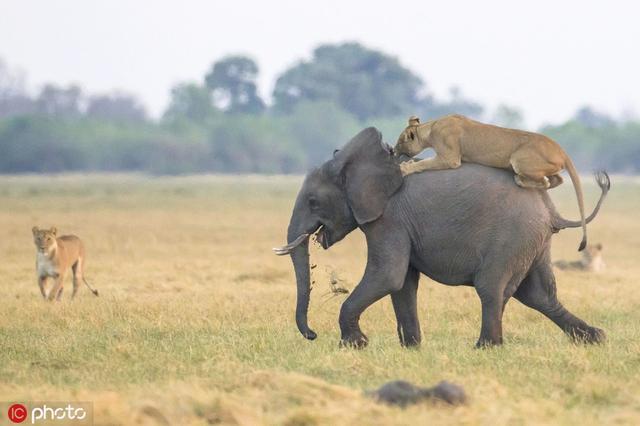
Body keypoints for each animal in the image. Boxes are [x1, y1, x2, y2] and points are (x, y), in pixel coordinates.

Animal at [274, 127, 610, 348]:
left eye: (313, 202)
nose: (312, 335)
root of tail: (551, 211)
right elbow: (403, 283)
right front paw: (411, 348)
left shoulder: (389, 219)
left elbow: (388, 275)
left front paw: (354, 345)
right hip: (533, 241)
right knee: (537, 294)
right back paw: (595, 338)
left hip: (512, 238)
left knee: (492, 288)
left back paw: (485, 347)